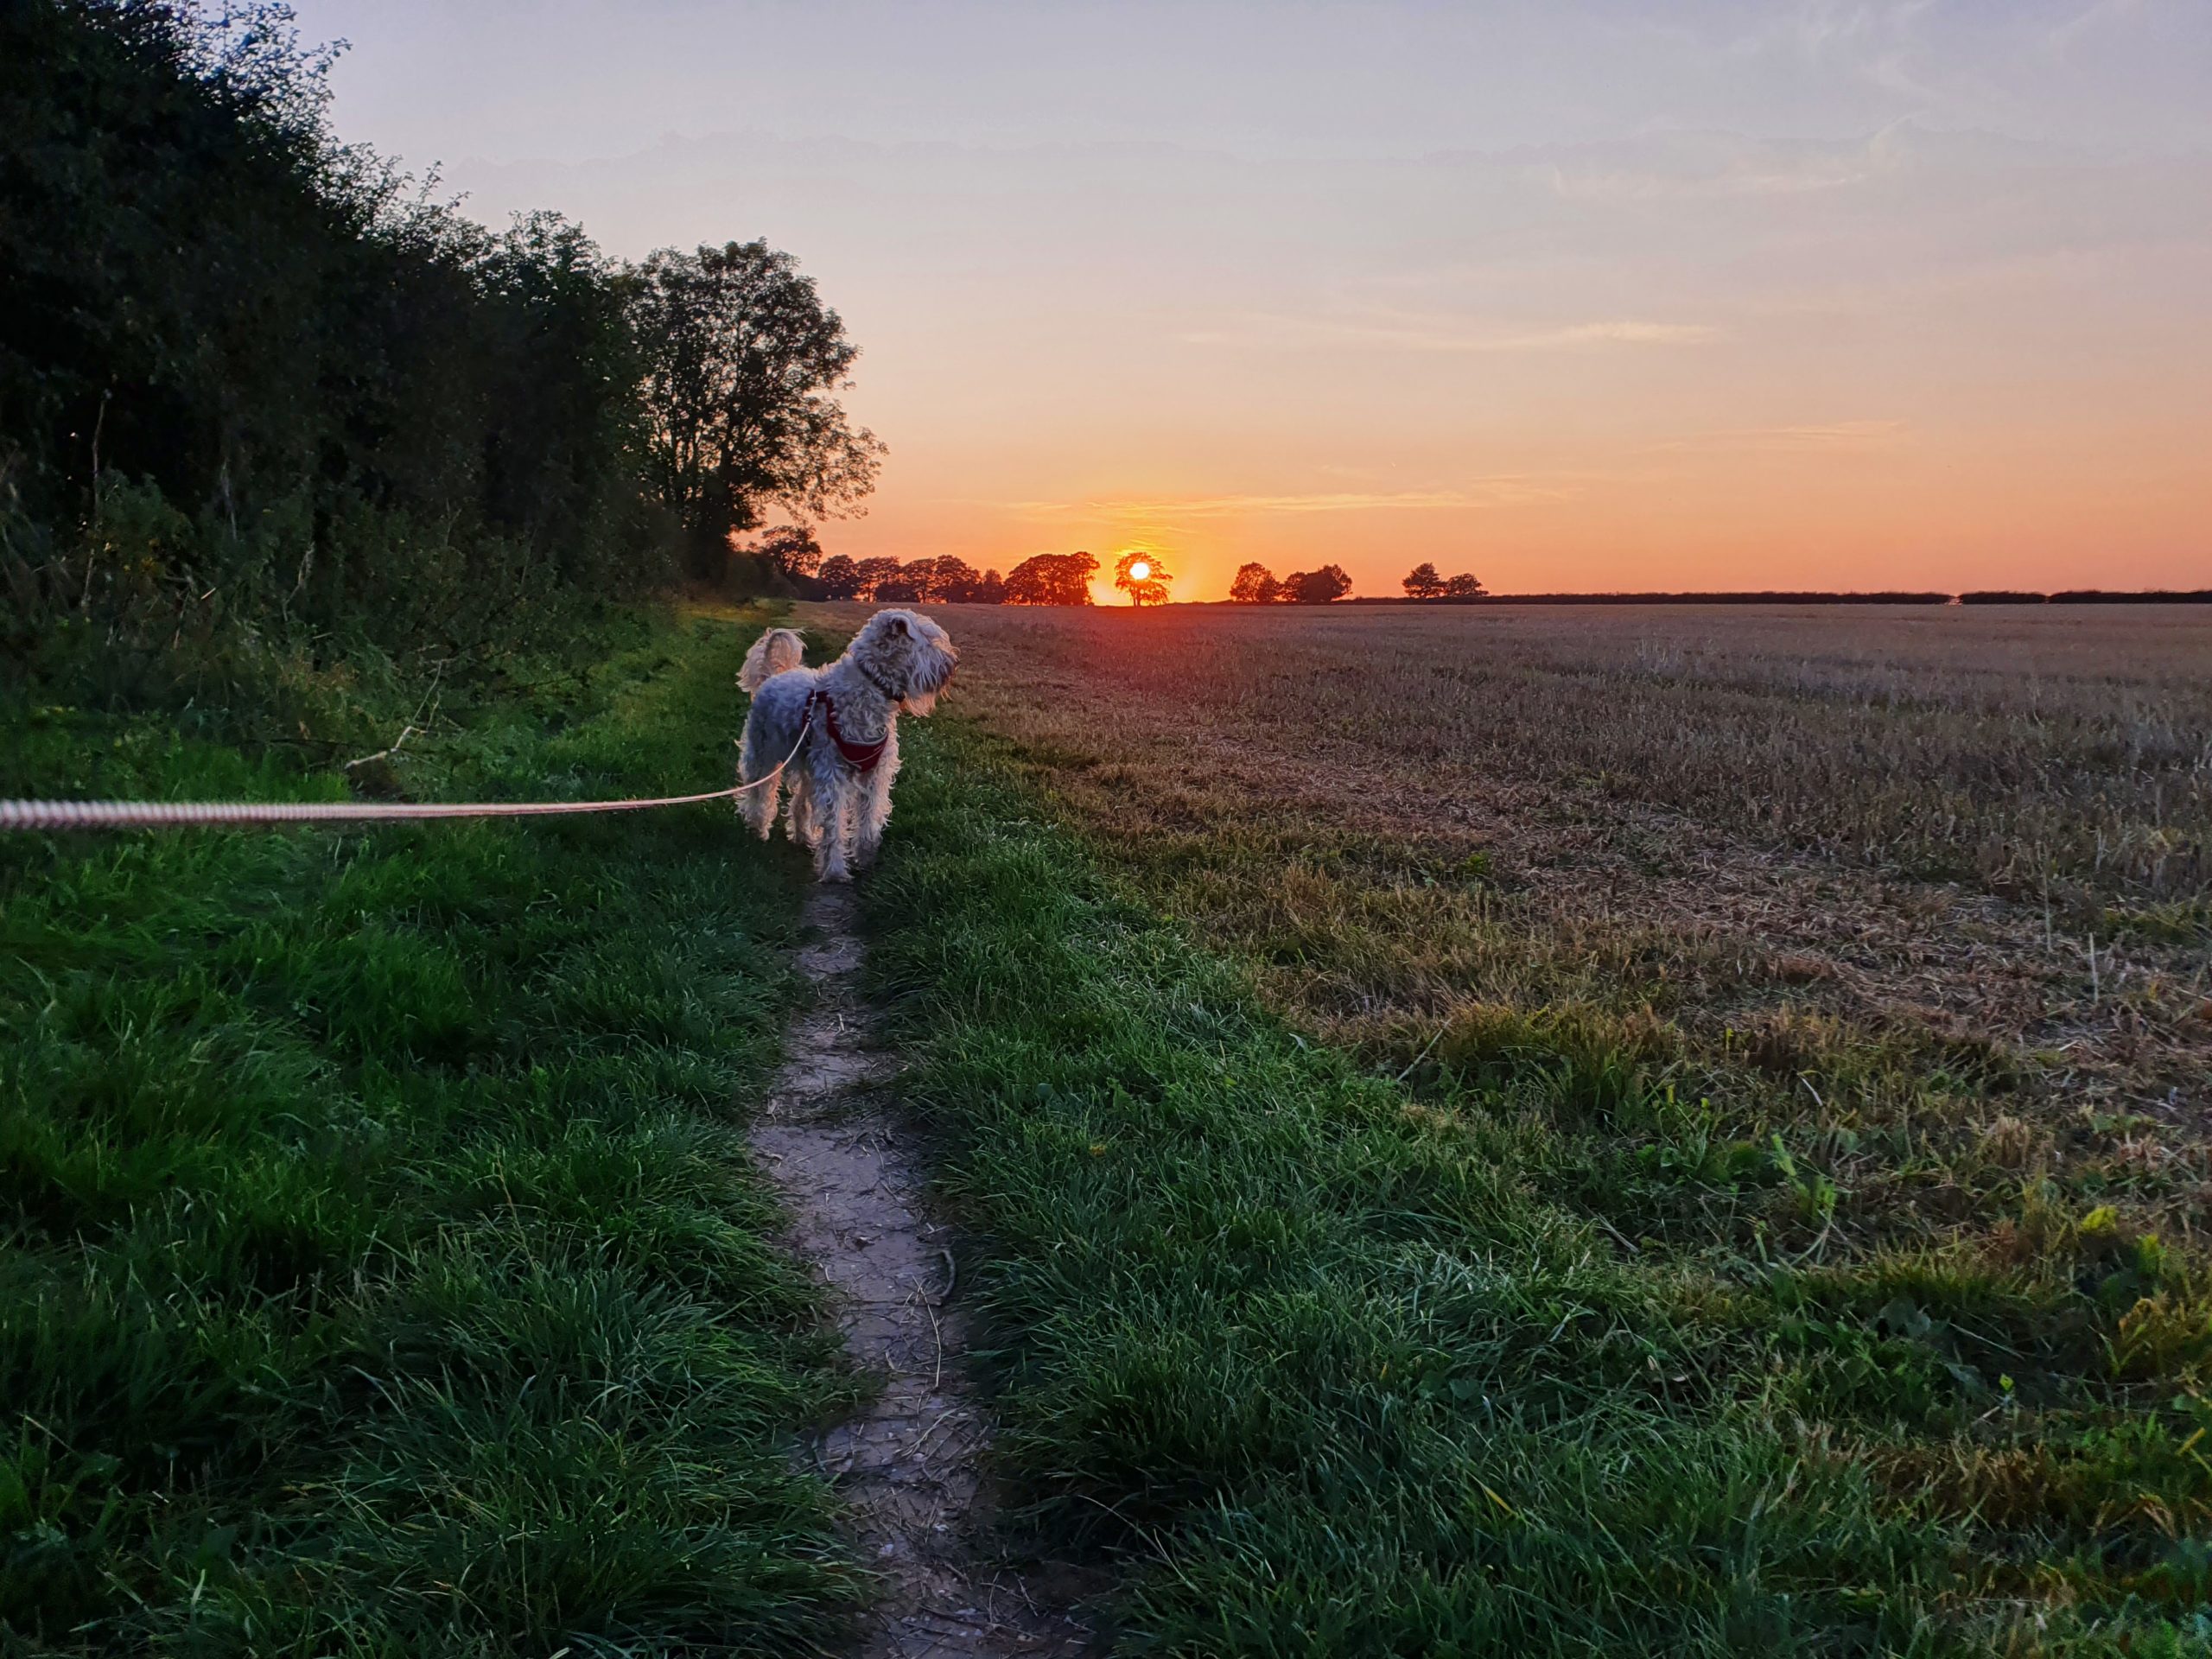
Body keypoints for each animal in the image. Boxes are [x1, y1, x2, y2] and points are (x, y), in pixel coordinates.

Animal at [739, 606, 955, 875]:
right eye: (927, 639)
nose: (953, 664)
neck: (871, 686)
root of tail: (772, 675)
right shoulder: (832, 775)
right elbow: (833, 824)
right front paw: (834, 870)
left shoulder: (874, 774)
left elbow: (868, 818)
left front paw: (865, 857)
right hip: (762, 753)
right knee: (758, 792)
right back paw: (757, 827)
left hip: (808, 765)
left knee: (799, 802)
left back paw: (802, 836)